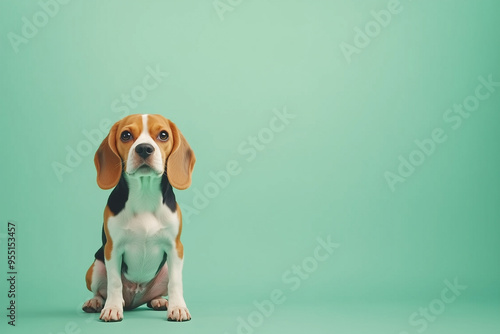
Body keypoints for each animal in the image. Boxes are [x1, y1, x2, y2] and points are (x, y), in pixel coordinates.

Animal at [81, 114, 194, 320]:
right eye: (126, 135)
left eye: (163, 135)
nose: (144, 148)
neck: (144, 194)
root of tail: (134, 300)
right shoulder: (112, 249)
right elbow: (114, 282)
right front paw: (112, 308)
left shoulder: (175, 248)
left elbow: (176, 283)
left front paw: (178, 307)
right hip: (95, 268)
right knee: (100, 291)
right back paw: (96, 302)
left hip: (165, 270)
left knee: (159, 292)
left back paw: (159, 301)